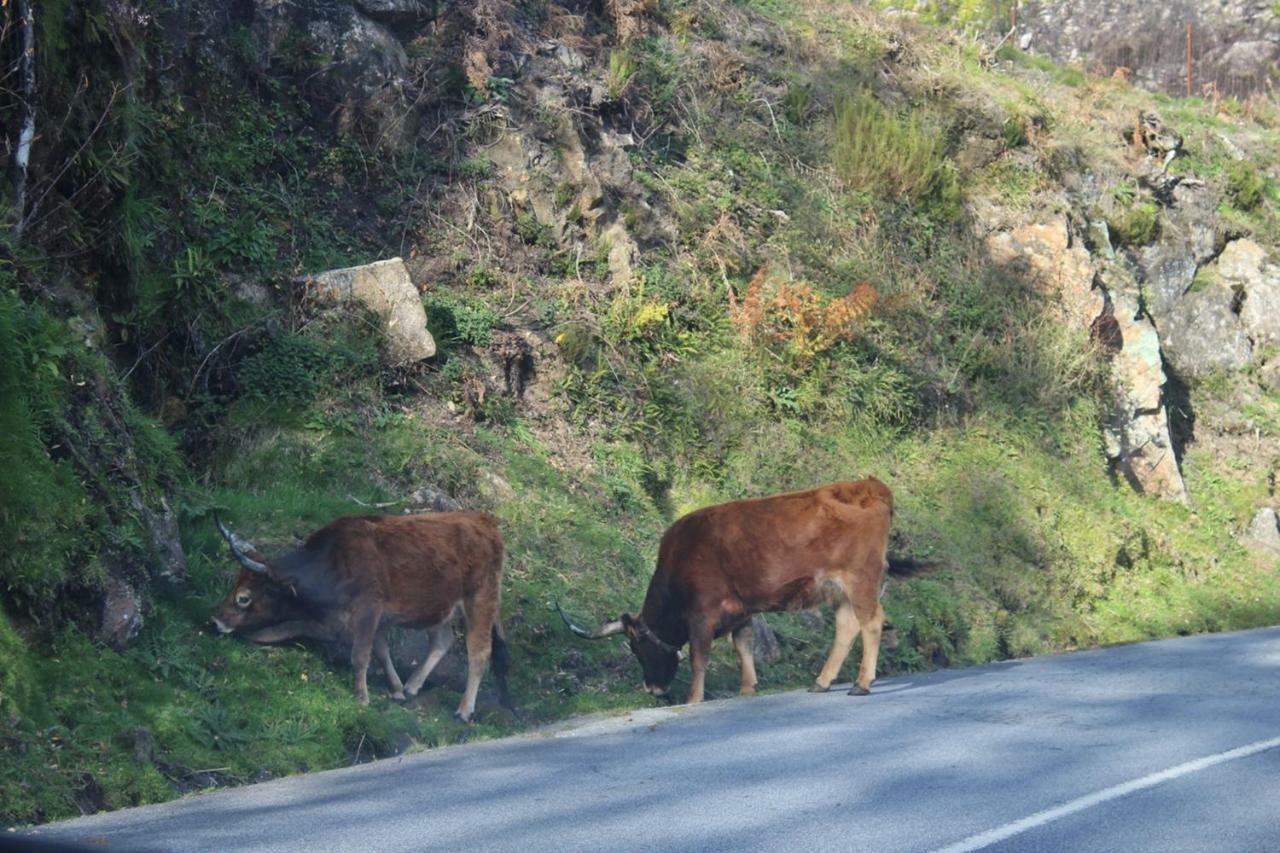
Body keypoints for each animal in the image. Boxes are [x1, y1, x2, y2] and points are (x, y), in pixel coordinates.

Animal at [212, 507, 506, 722]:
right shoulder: (368, 618)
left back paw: (465, 709)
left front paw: (362, 697)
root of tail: (485, 521)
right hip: (440, 608)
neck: (332, 564)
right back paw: (413, 685)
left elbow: (360, 655)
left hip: (481, 600)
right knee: (442, 641)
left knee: (479, 652)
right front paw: (396, 689)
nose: (215, 620)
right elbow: (381, 651)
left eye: (244, 598)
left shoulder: (368, 610)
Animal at [560, 473, 921, 701]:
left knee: (871, 623)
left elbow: (699, 657)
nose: (652, 689)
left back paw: (862, 683)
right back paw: (822, 682)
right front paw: (747, 688)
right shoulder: (743, 610)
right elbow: (743, 646)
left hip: (860, 579)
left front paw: (693, 698)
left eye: (637, 648)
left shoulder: (702, 614)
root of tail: (870, 485)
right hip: (838, 588)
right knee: (847, 627)